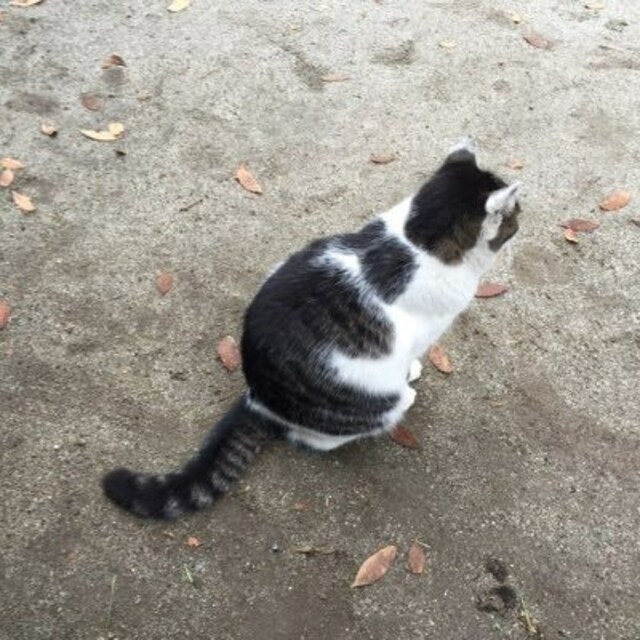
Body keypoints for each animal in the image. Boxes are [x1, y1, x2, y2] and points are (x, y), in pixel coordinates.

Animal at [102, 137, 521, 520]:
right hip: (376, 401)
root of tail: (260, 398)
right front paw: (412, 370)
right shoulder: (424, 329)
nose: (525, 213)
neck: (415, 239)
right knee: (316, 438)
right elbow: (411, 355)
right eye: (516, 212)